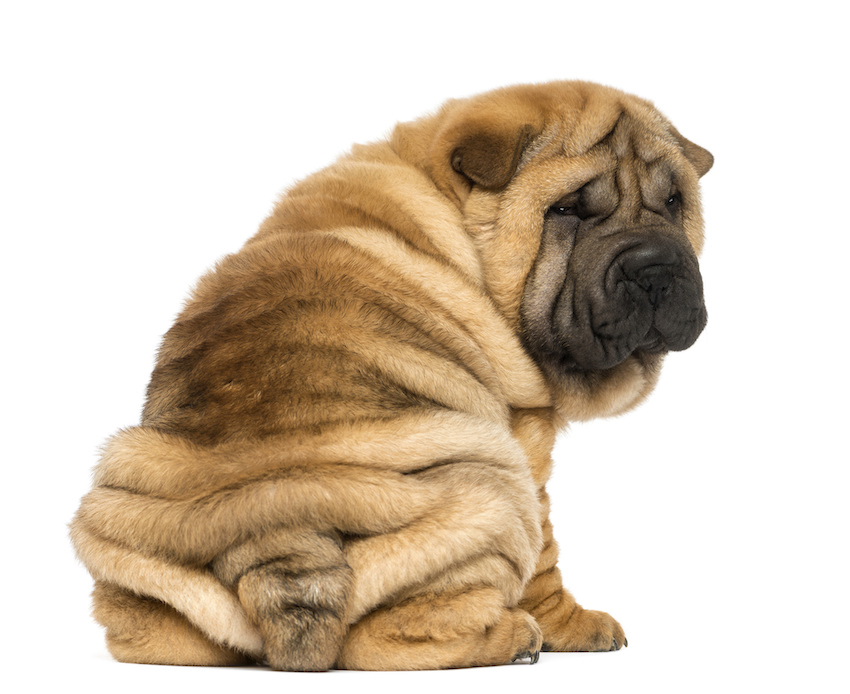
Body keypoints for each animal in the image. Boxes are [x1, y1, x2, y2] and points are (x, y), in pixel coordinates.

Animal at [71, 81, 708, 676]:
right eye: (569, 210)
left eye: (675, 202)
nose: (655, 267)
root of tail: (274, 532)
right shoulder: (528, 441)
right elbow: (546, 560)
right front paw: (573, 626)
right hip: (494, 490)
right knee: (387, 641)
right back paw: (513, 637)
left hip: (124, 522)